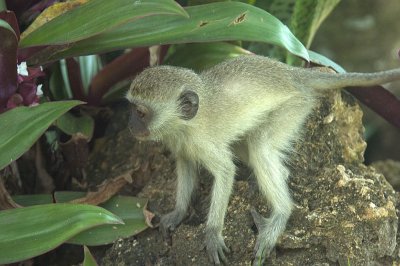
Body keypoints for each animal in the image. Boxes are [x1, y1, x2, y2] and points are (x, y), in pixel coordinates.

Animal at [126, 55, 400, 264]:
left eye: (141, 112)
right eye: (133, 110)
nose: (131, 126)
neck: (186, 124)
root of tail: (292, 74)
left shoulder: (203, 142)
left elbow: (225, 172)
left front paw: (212, 233)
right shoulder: (179, 142)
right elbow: (186, 165)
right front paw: (178, 213)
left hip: (296, 106)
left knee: (260, 145)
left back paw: (281, 213)